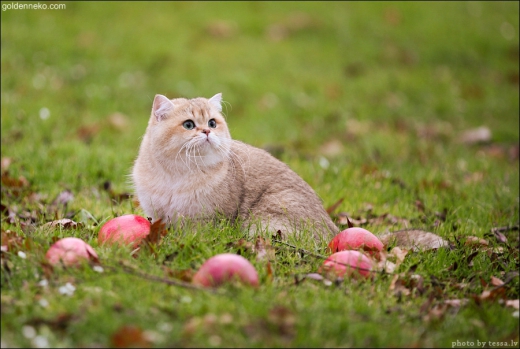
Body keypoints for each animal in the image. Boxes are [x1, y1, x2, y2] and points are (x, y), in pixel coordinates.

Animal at [132, 92, 340, 239]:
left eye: (212, 123)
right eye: (189, 125)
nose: (207, 131)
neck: (177, 173)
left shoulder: (206, 220)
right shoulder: (157, 215)